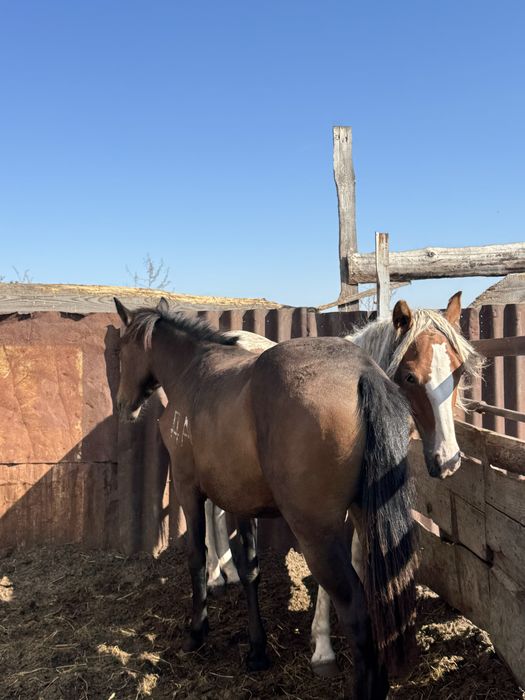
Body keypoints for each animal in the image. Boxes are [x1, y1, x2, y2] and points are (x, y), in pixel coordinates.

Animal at [114, 296, 418, 700]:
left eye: (121, 350)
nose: (123, 405)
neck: (192, 374)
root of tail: (362, 373)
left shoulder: (187, 486)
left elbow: (197, 556)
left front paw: (196, 632)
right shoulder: (242, 501)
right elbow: (250, 570)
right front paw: (257, 649)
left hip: (317, 535)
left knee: (356, 610)